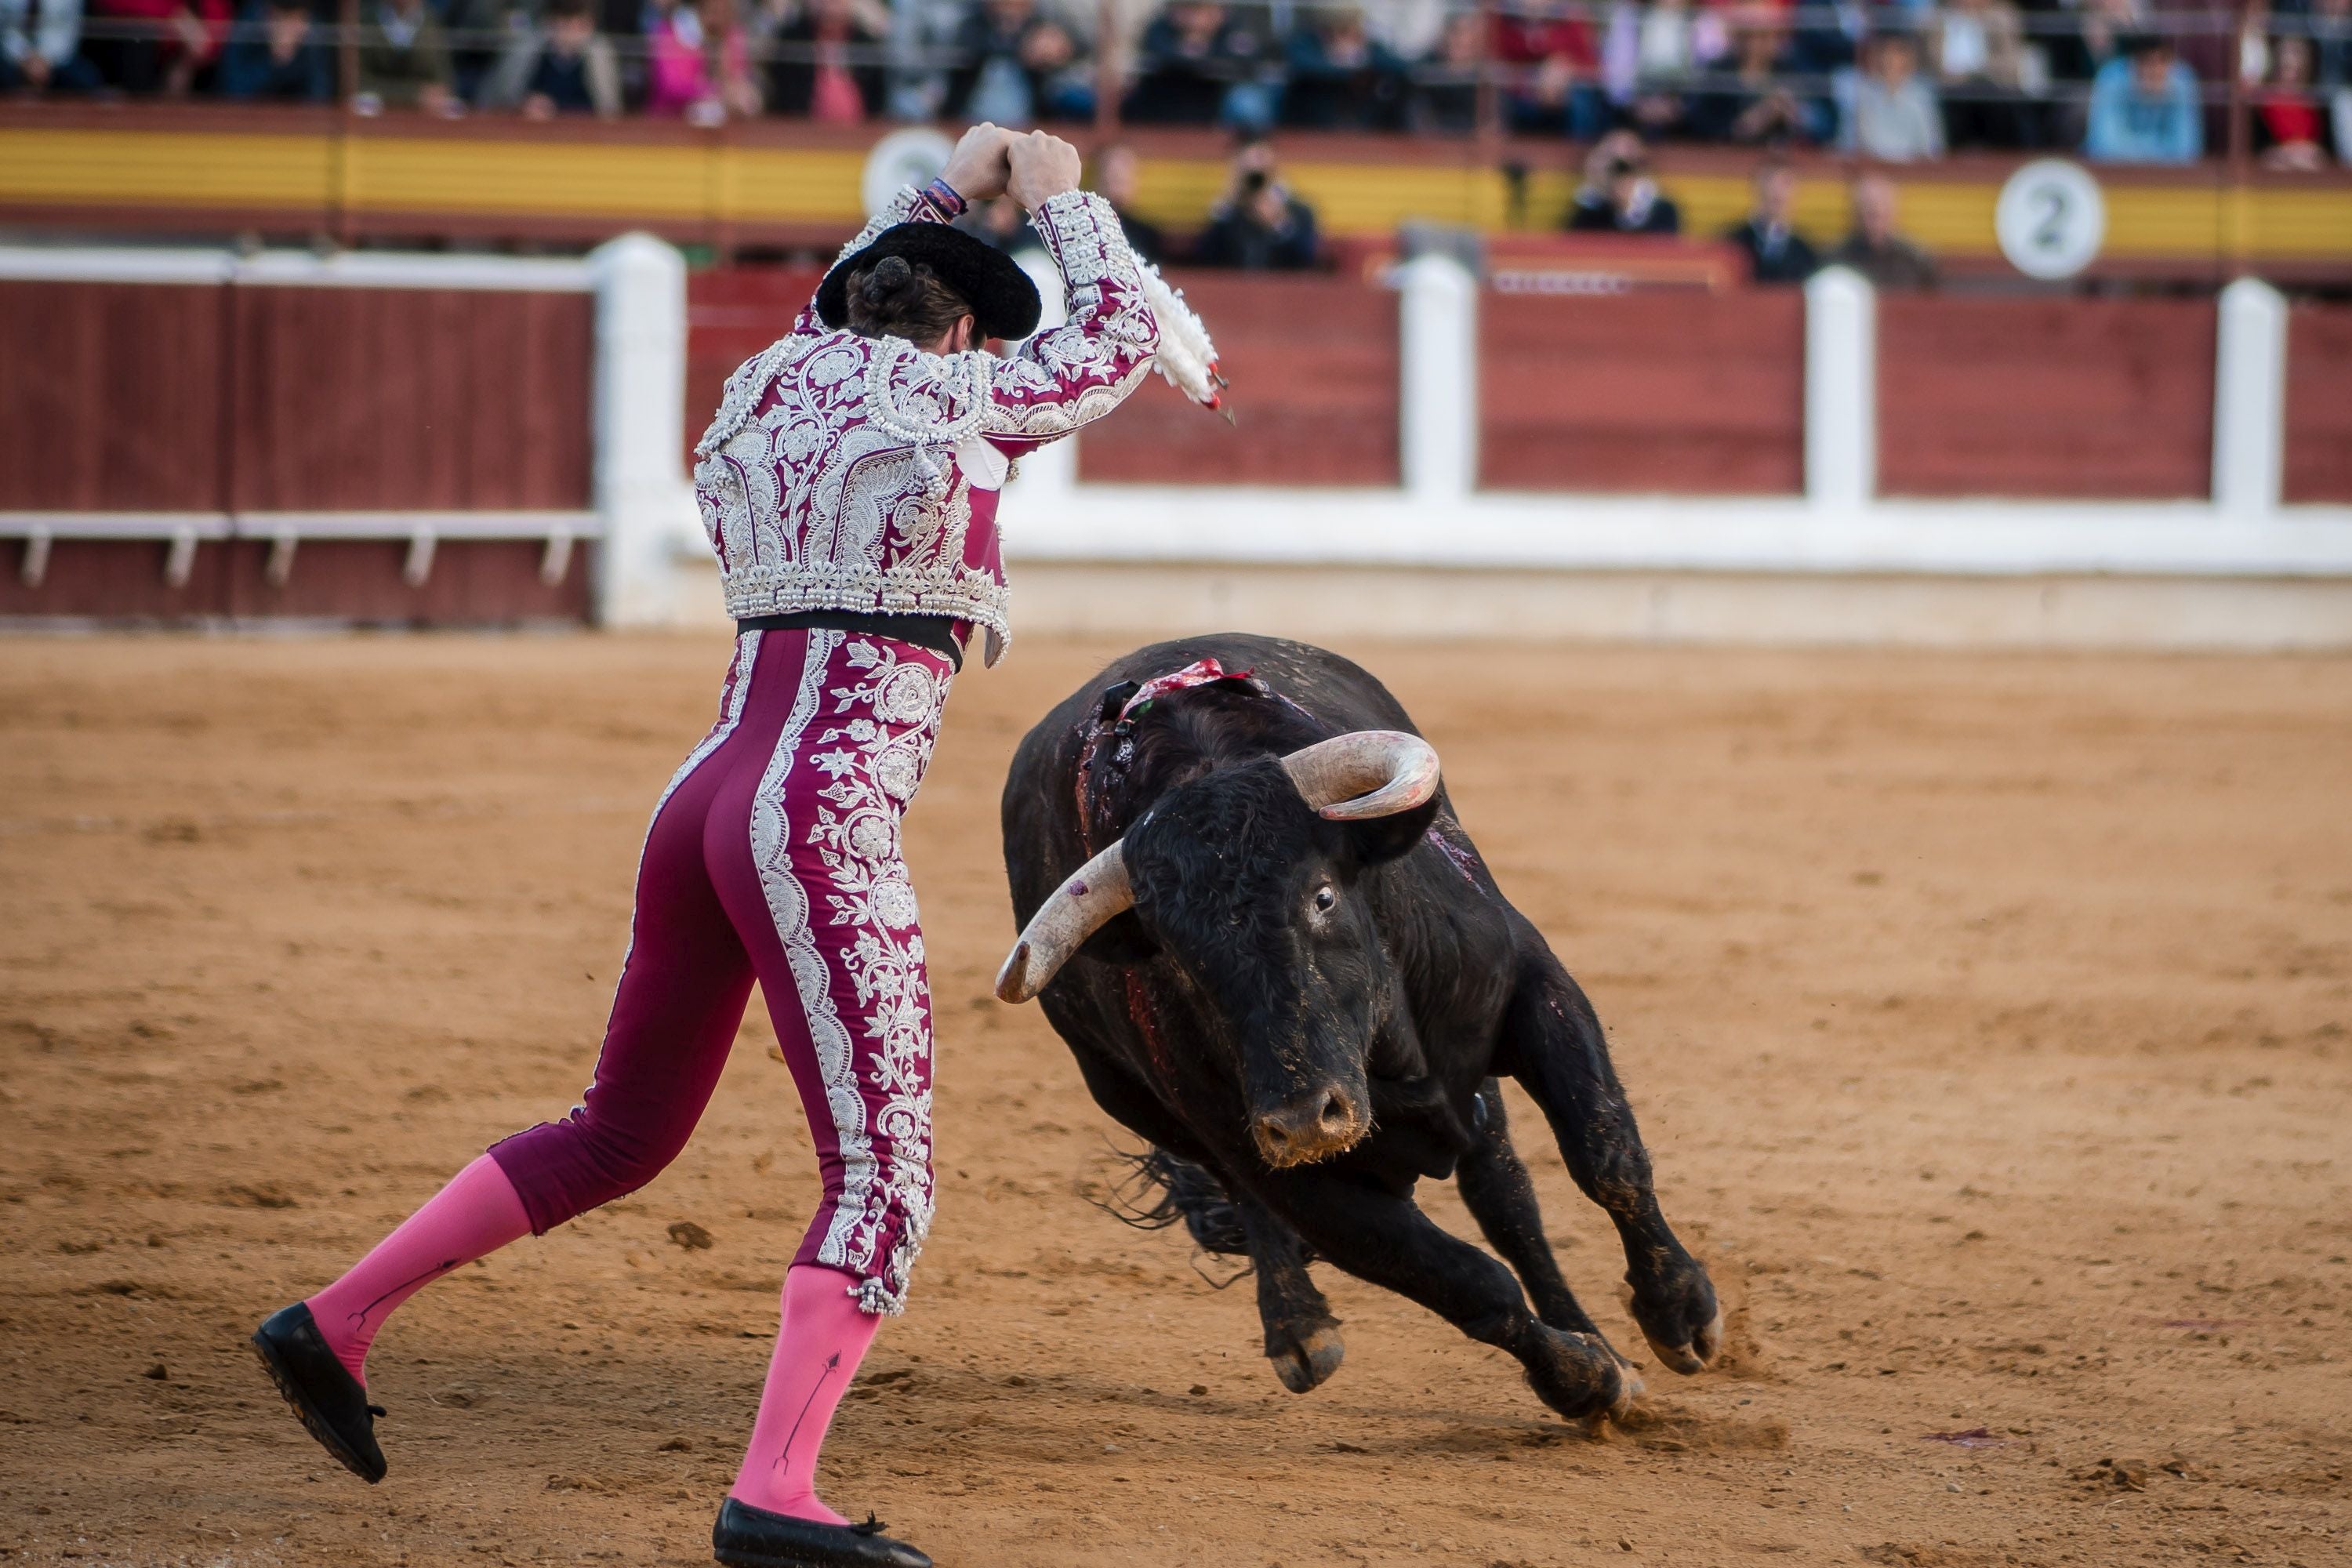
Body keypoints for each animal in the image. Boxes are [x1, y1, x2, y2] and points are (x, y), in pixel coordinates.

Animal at [1002, 634, 1722, 1420]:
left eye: (1322, 897)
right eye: (1181, 957)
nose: (1305, 1120)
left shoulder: (1532, 988)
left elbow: (1606, 1155)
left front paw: (1679, 1314)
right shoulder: (1271, 1160)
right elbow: (1460, 1280)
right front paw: (1581, 1382)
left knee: (1506, 1195)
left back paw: (1602, 1336)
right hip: (1143, 1105)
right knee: (1261, 1205)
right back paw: (1300, 1329)